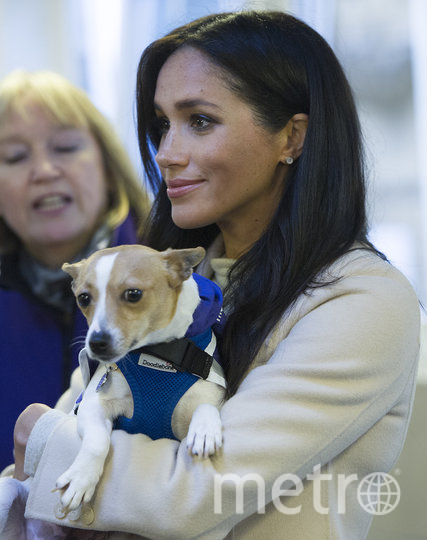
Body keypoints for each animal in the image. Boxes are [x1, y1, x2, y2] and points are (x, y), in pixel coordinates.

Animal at [53, 245, 227, 510]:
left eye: (133, 294)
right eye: (83, 298)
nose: (96, 342)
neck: (158, 356)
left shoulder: (208, 394)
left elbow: (205, 406)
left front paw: (204, 430)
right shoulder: (93, 405)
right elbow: (97, 442)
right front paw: (81, 478)